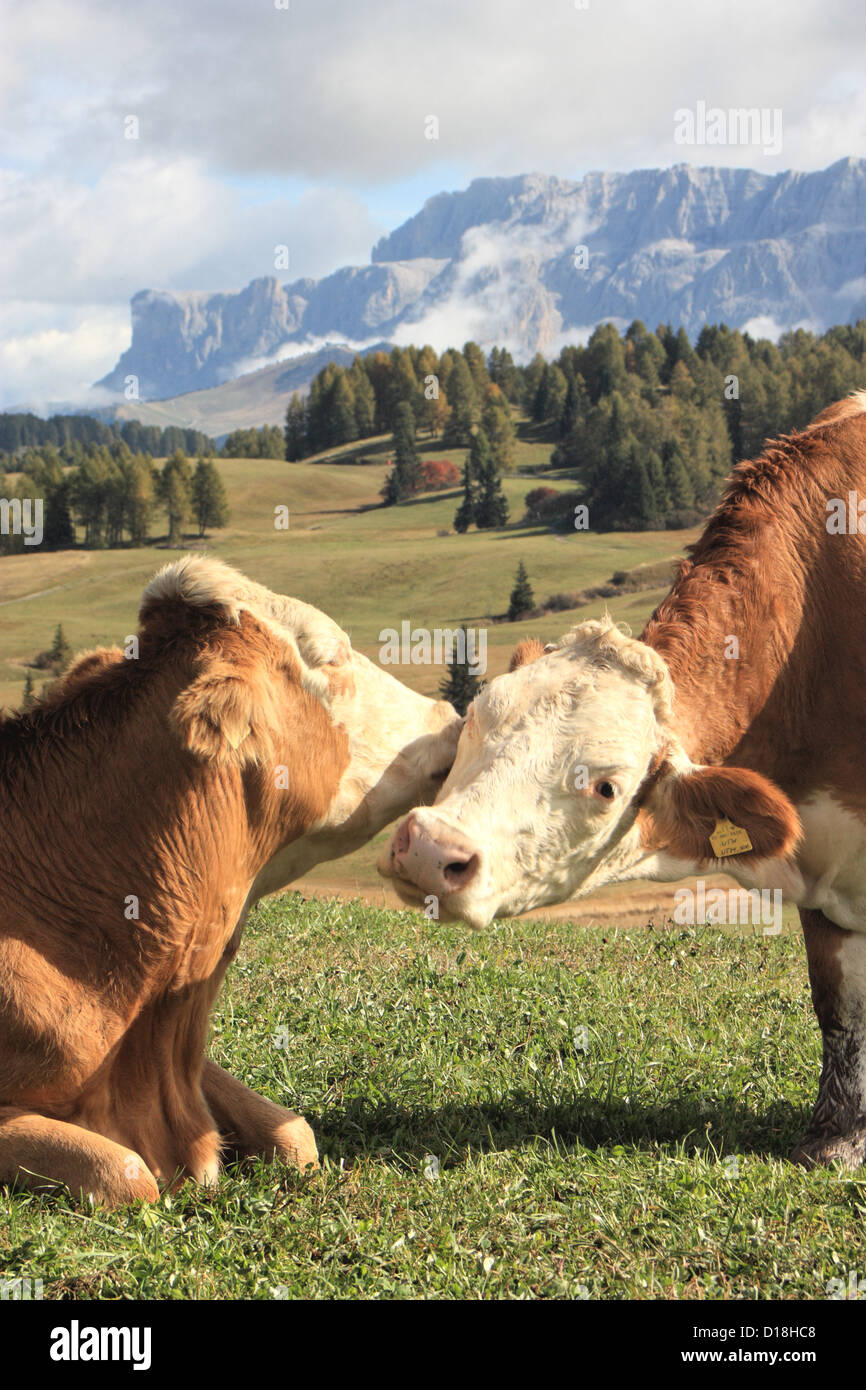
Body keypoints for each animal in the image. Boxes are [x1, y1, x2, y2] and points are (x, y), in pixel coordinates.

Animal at [380, 392, 866, 1170]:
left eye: (606, 787)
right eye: (474, 720)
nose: (428, 850)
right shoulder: (823, 856)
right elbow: (839, 1006)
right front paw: (836, 1137)